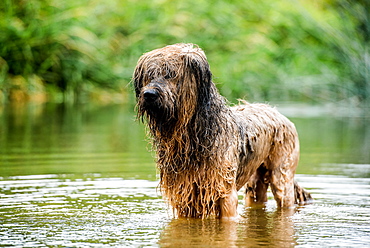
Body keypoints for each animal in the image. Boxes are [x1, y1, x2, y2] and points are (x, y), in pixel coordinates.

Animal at [134, 43, 312, 218]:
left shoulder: (225, 193)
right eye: (149, 76)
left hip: (281, 176)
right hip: (254, 181)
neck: (192, 137)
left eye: (171, 74)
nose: (149, 94)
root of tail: (279, 113)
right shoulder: (185, 196)